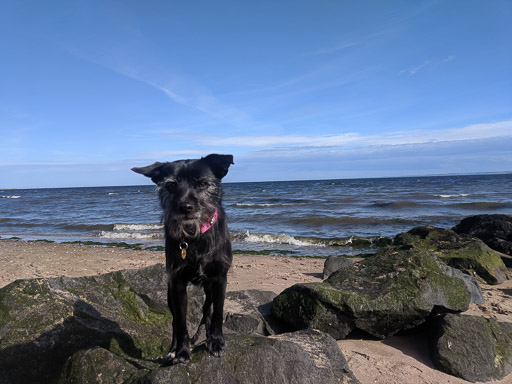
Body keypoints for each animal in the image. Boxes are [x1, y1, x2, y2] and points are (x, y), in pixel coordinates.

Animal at [133, 154, 235, 364]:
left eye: (202, 184)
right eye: (171, 185)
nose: (185, 207)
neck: (195, 237)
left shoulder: (219, 278)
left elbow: (217, 313)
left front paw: (216, 342)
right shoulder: (177, 282)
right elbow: (180, 322)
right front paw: (181, 351)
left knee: (207, 311)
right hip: (170, 294)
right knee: (175, 321)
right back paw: (173, 349)